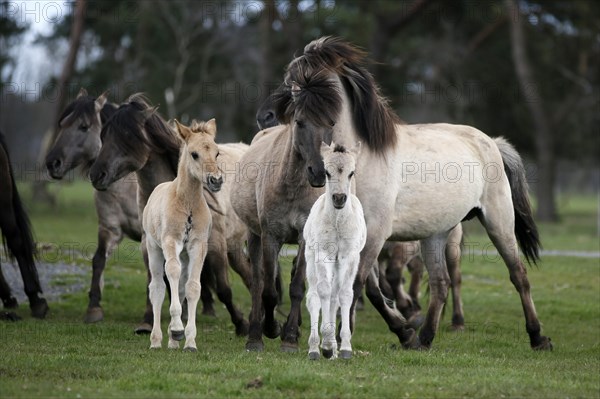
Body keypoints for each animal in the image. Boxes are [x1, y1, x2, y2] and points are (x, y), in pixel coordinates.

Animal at [143, 119, 223, 354]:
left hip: (185, 256)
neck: (187, 205)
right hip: (153, 247)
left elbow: (192, 287)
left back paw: (172, 341)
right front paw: (178, 329)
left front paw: (189, 341)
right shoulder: (170, 241)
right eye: (194, 154)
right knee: (158, 287)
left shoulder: (198, 246)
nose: (216, 180)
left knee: (178, 286)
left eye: (217, 153)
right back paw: (156, 340)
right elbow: (171, 272)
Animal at [304, 142, 366, 360]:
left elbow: (345, 295)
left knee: (334, 296)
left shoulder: (349, 256)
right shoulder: (323, 254)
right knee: (313, 297)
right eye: (327, 173)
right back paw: (316, 347)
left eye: (351, 172)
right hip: (310, 259)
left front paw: (344, 347)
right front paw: (325, 345)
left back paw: (331, 346)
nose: (339, 198)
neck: (338, 222)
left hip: (339, 264)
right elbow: (322, 291)